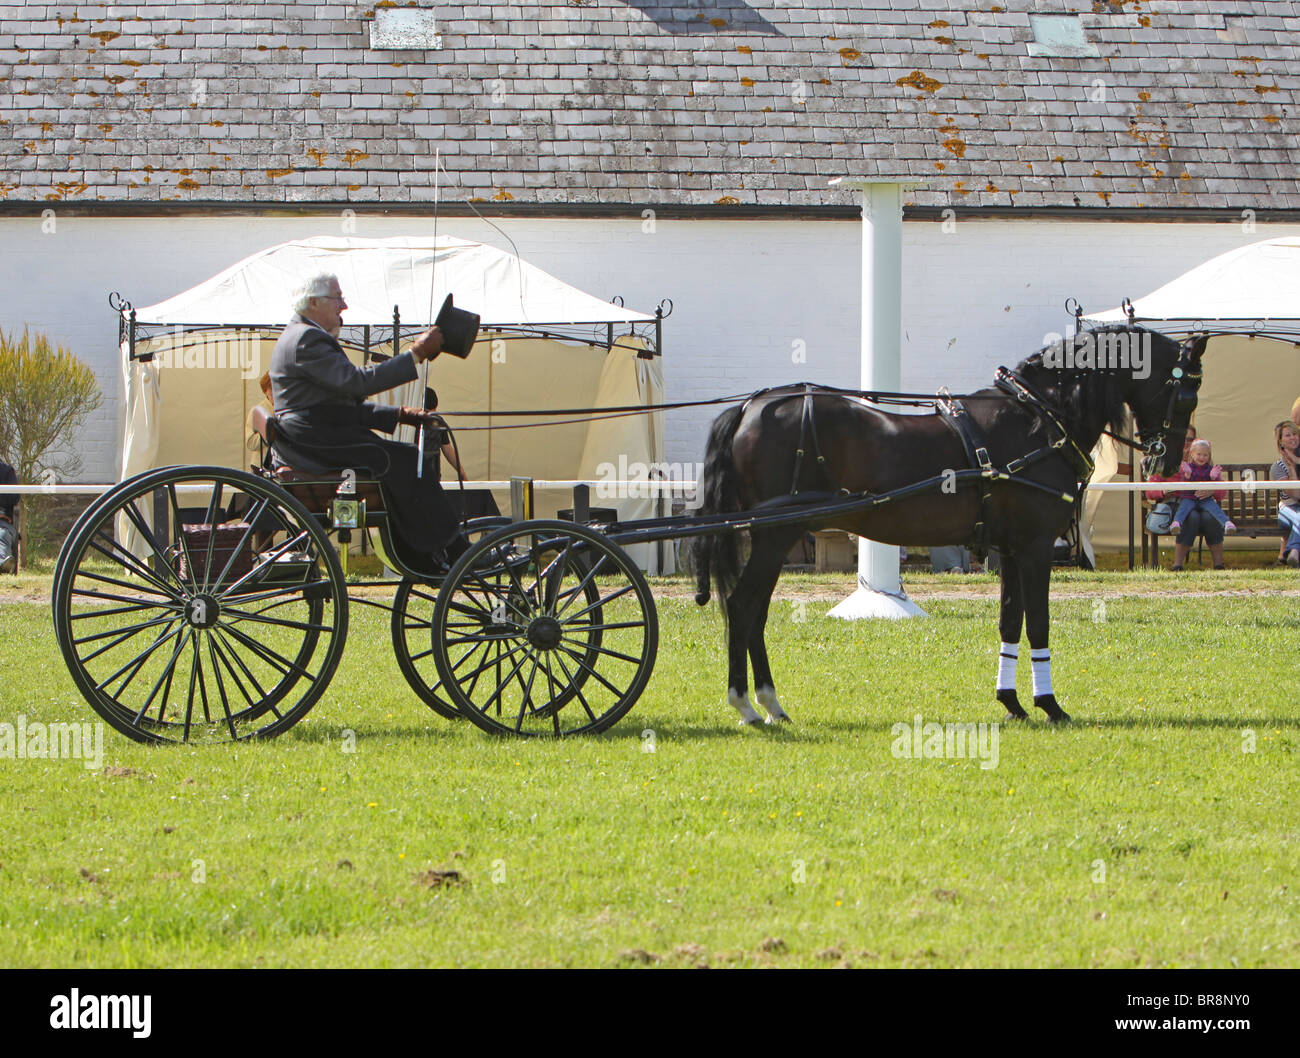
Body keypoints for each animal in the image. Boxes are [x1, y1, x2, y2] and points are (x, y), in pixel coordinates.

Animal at [691, 324, 1206, 726]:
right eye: (1186, 393)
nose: (1167, 461)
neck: (1039, 421)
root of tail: (750, 407)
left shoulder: (1010, 549)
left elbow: (1009, 621)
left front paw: (1011, 702)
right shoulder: (1036, 546)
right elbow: (1038, 623)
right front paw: (1050, 705)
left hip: (776, 536)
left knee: (754, 612)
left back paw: (769, 703)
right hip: (774, 535)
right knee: (742, 607)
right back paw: (747, 704)